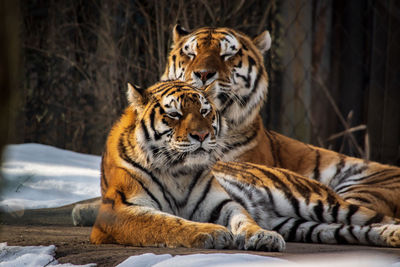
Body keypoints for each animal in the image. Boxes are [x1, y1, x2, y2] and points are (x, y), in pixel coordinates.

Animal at [90, 81, 400, 249]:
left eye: (205, 111)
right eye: (175, 114)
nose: (201, 135)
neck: (177, 171)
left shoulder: (222, 203)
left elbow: (244, 219)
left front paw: (262, 236)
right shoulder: (118, 211)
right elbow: (166, 223)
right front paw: (210, 233)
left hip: (319, 203)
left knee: (377, 219)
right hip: (304, 224)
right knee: (351, 230)